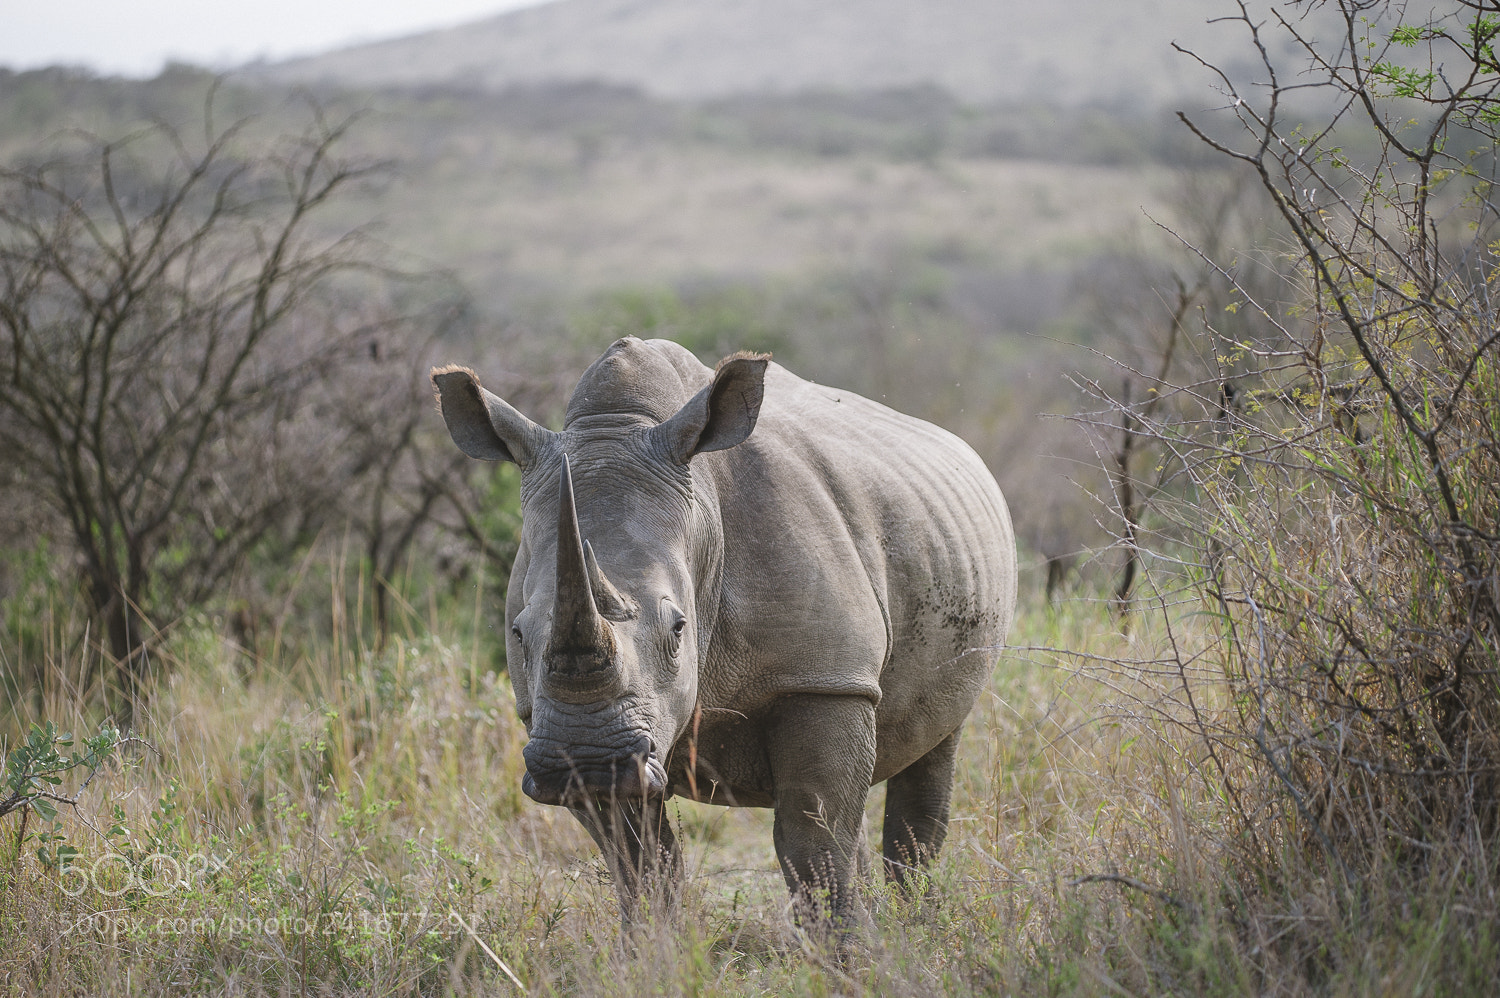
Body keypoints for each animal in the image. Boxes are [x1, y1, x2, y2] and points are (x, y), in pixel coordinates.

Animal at [432, 337, 1015, 933]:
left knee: (933, 750)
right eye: (519, 634)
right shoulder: (568, 727)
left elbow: (812, 842)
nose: (588, 759)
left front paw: (845, 952)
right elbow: (640, 863)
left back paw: (914, 925)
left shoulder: (825, 677)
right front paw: (654, 948)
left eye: (678, 628)